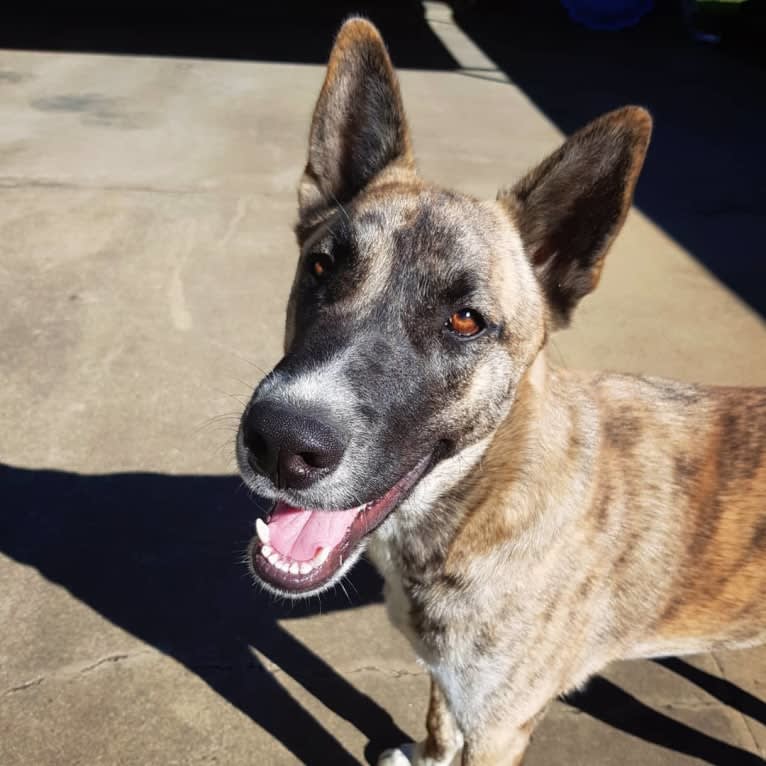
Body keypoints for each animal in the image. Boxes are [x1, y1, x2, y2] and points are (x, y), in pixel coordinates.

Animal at [236, 18, 766, 766]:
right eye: (320, 267)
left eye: (466, 319)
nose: (279, 443)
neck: (484, 496)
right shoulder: (450, 686)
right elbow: (437, 723)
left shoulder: (501, 728)